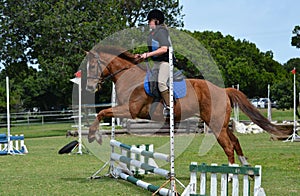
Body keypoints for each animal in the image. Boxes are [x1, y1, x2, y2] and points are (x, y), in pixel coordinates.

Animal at [84, 45, 290, 165]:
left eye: (92, 66)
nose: (90, 87)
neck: (129, 76)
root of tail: (223, 90)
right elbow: (103, 113)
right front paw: (96, 136)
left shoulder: (130, 111)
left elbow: (102, 113)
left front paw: (94, 137)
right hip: (221, 124)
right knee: (235, 141)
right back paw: (246, 169)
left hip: (216, 124)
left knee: (228, 146)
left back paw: (231, 176)